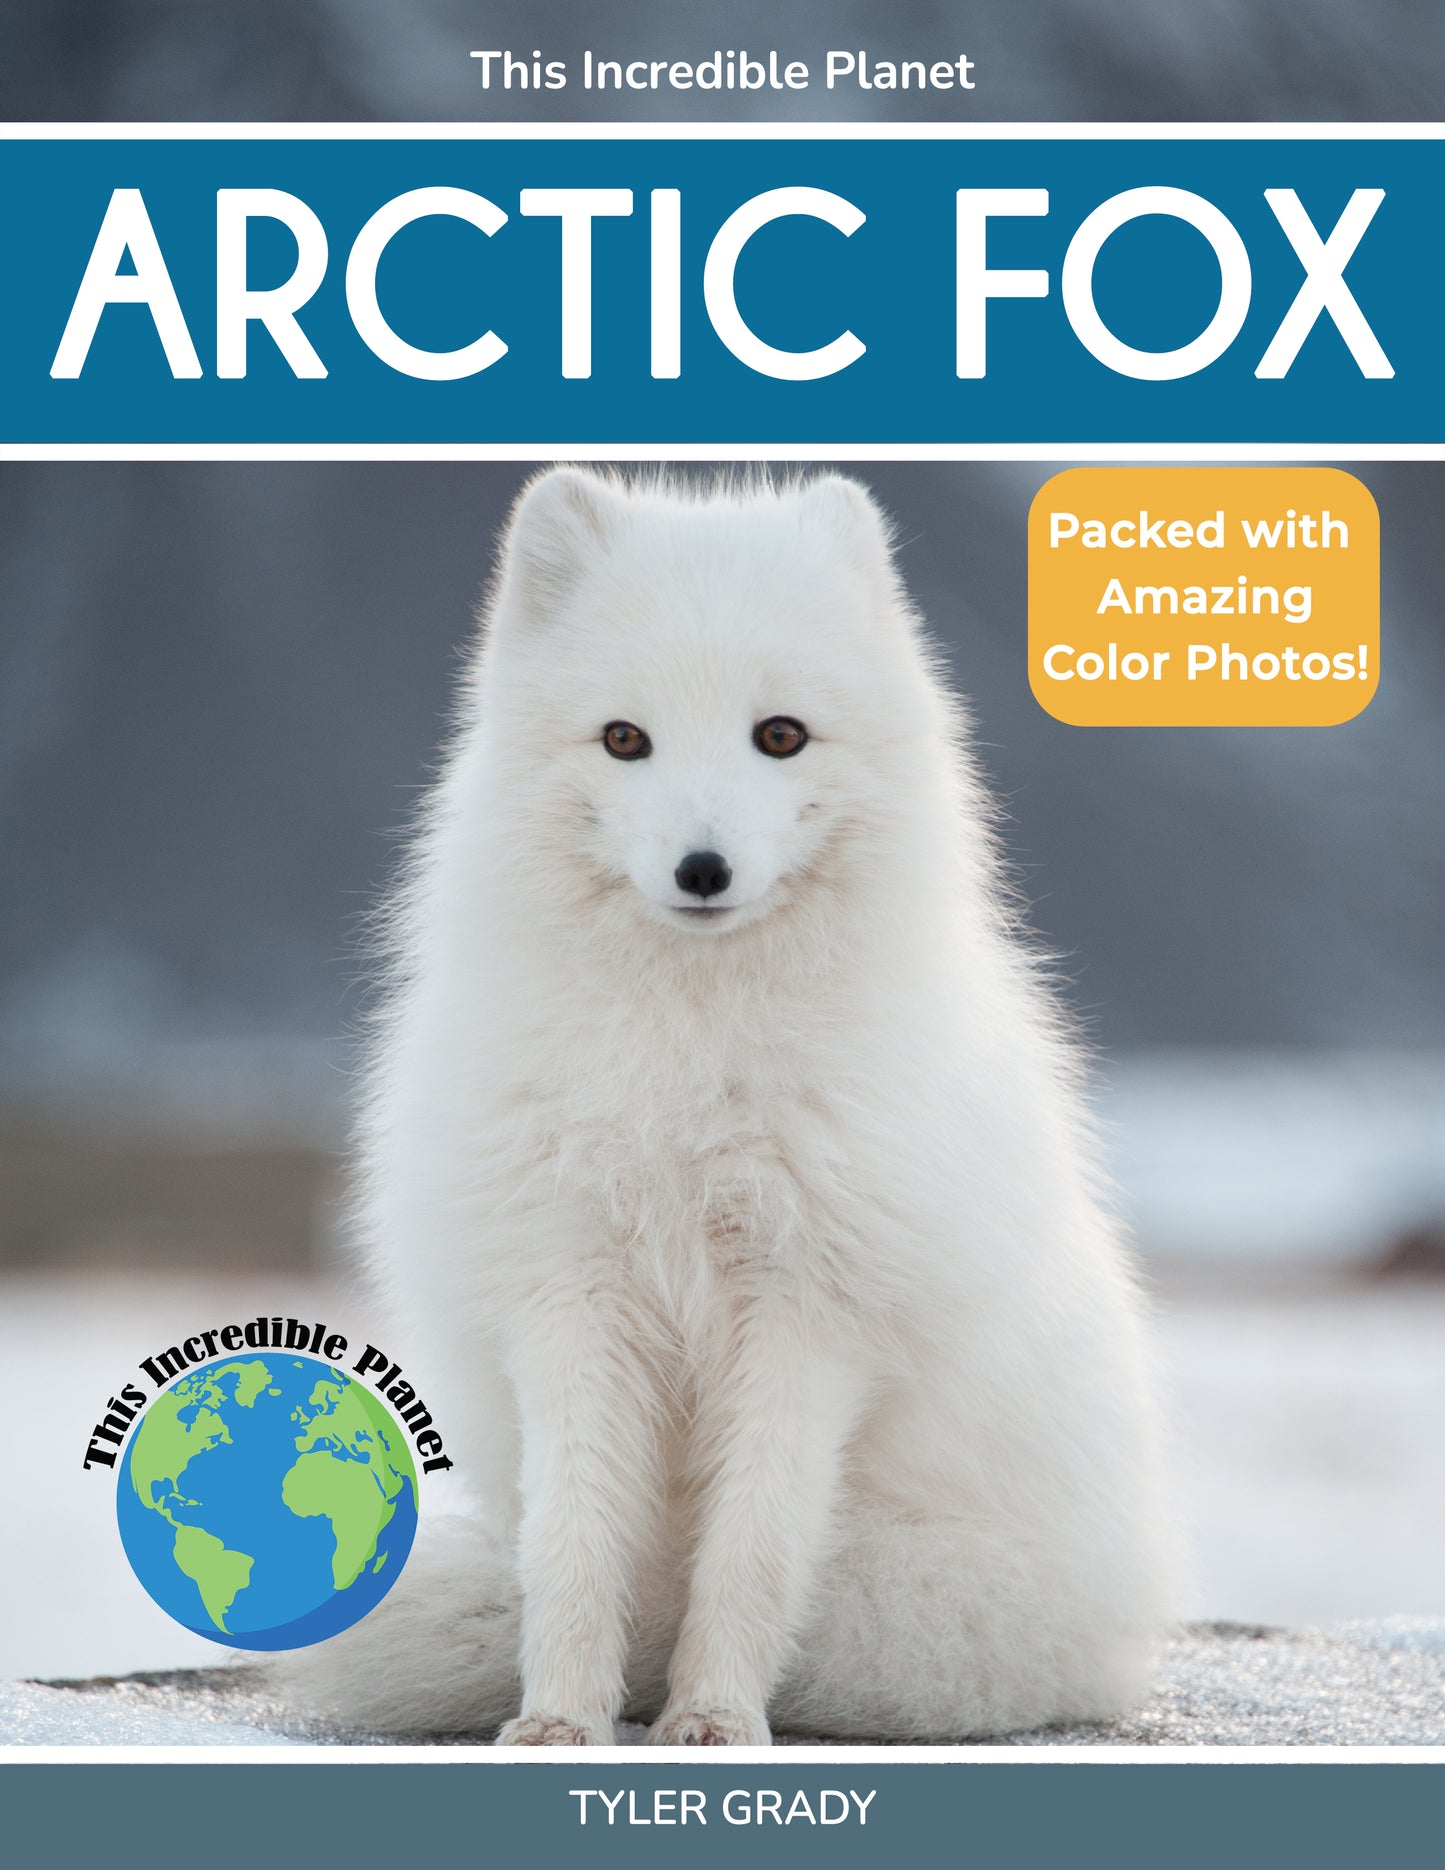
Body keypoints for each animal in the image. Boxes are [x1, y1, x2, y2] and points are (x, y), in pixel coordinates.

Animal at [280, 468, 1179, 1744]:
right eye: (624, 739)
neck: (686, 1064)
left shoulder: (809, 1313)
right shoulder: (568, 1294)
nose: (701, 869)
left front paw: (708, 1715)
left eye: (779, 734)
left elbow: (749, 1548)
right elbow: (570, 1544)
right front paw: (559, 1717)